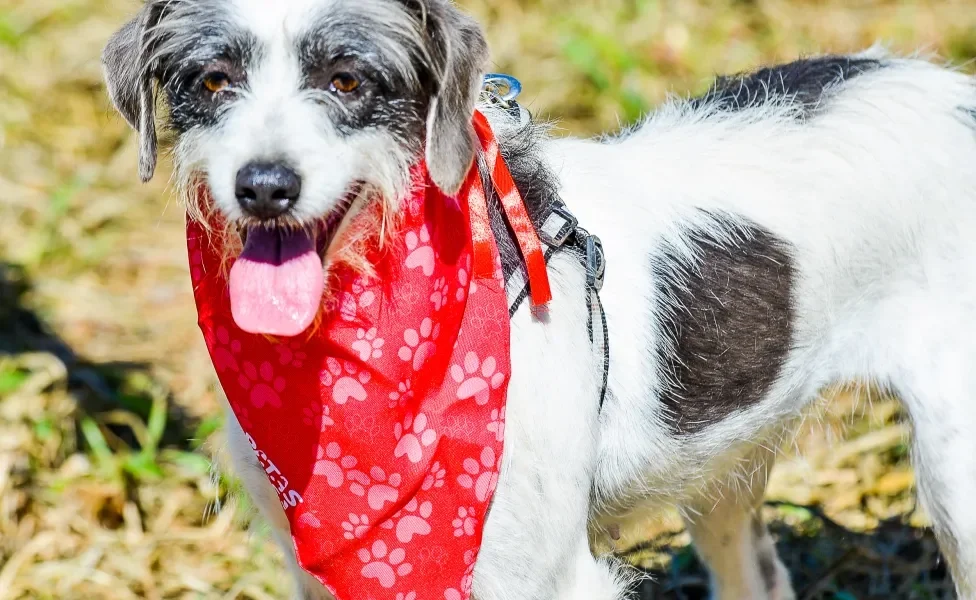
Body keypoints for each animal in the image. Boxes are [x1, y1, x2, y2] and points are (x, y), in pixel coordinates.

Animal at [101, 1, 976, 600]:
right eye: (213, 80)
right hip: (725, 478)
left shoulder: (543, 576)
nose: (264, 187)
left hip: (956, 484)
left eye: (347, 79)